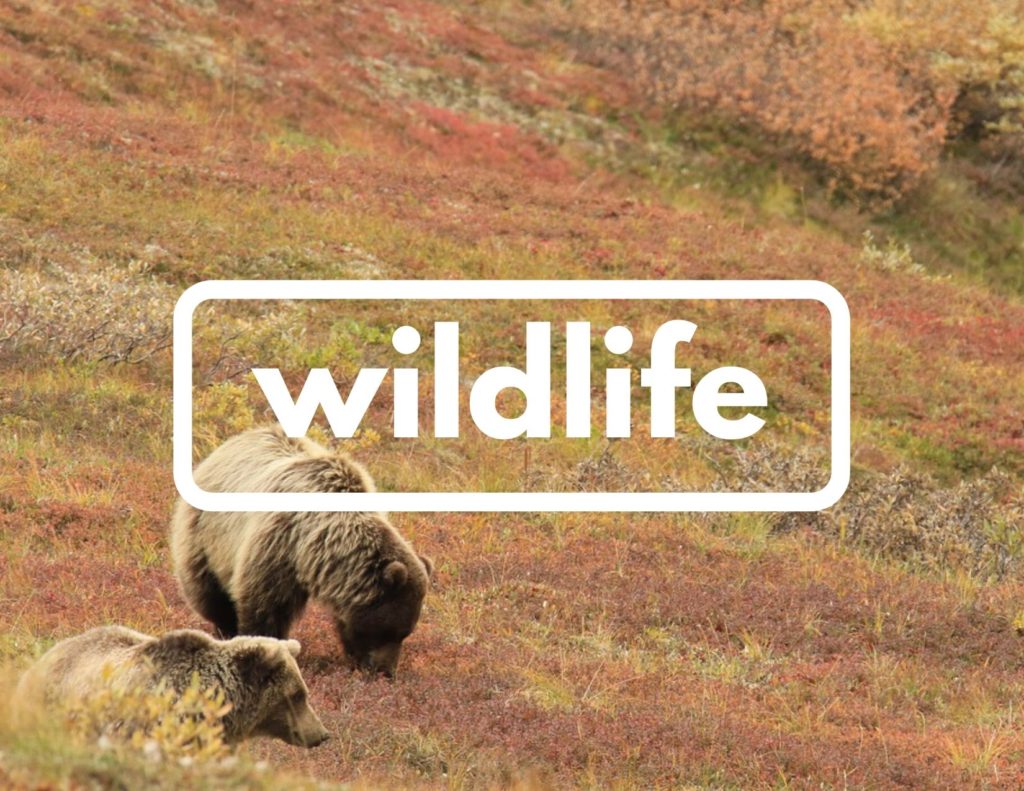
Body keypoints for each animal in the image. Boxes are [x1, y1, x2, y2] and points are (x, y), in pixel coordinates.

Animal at [171, 424, 433, 677]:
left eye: (405, 633)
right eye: (390, 631)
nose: (386, 672)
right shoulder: (278, 544)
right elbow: (264, 605)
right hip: (203, 535)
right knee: (209, 593)